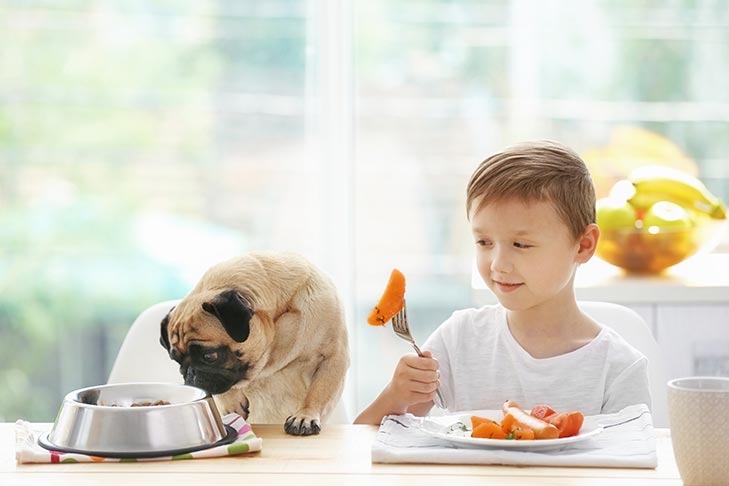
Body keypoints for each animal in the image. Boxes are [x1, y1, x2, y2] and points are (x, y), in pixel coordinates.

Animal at [159, 252, 350, 434]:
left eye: (210, 356)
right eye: (176, 360)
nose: (189, 372)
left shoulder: (333, 358)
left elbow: (318, 391)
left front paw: (305, 416)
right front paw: (231, 402)